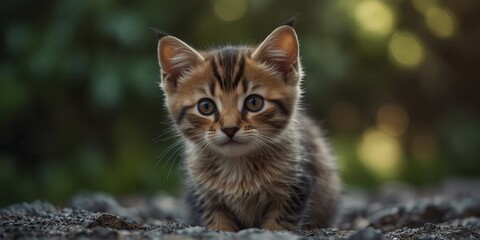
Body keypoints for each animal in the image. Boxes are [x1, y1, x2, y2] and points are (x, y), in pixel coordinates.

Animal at [155, 22, 342, 231]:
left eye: (254, 103)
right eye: (206, 106)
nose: (229, 128)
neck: (237, 168)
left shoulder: (297, 185)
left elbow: (281, 220)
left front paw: (273, 231)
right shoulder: (204, 196)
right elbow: (216, 219)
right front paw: (221, 230)